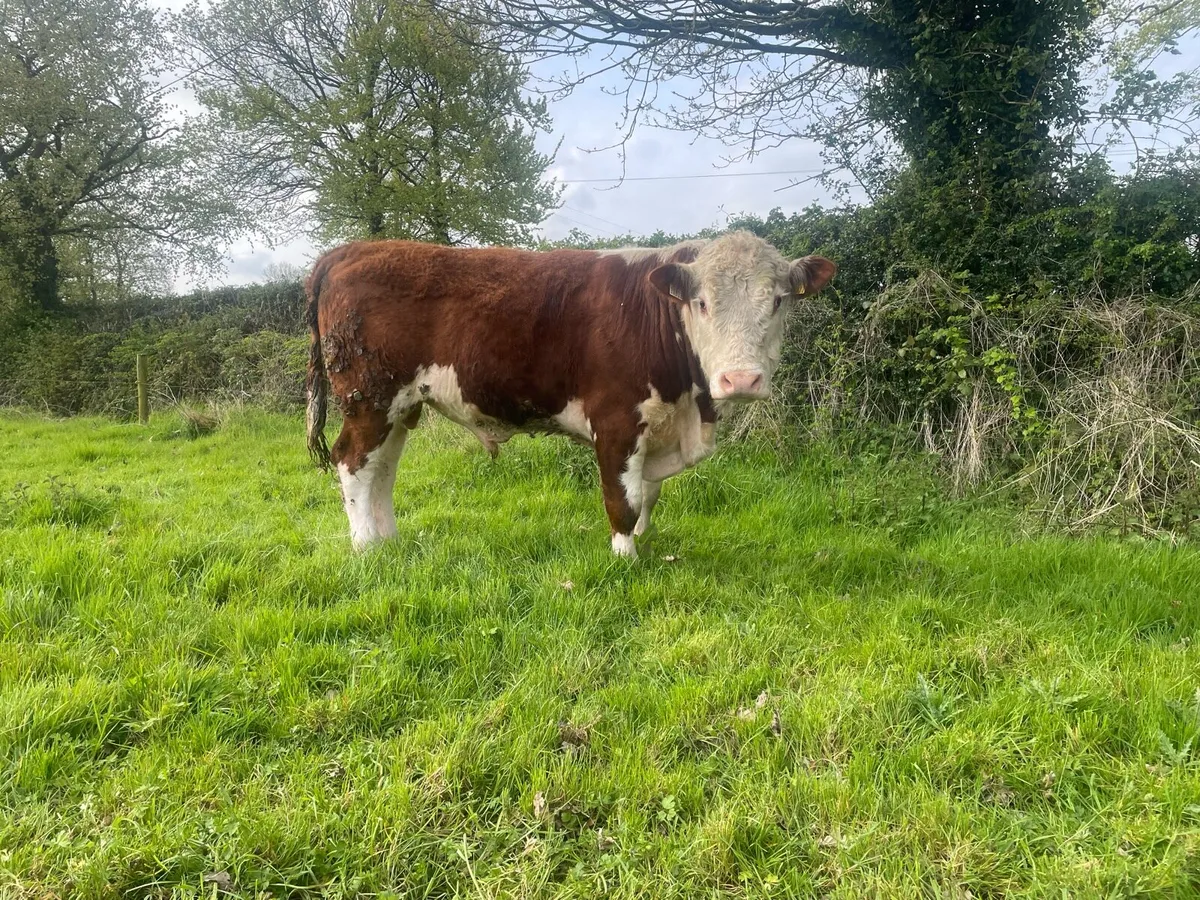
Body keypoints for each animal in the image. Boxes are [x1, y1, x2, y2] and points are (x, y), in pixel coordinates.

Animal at [304, 231, 836, 558]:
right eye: (702, 303)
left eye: (778, 300)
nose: (741, 380)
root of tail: (348, 251)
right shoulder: (616, 420)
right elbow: (622, 497)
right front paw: (626, 556)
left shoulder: (656, 423)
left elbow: (648, 494)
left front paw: (645, 538)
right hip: (369, 399)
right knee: (352, 463)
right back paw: (366, 548)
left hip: (400, 406)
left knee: (383, 469)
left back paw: (389, 540)